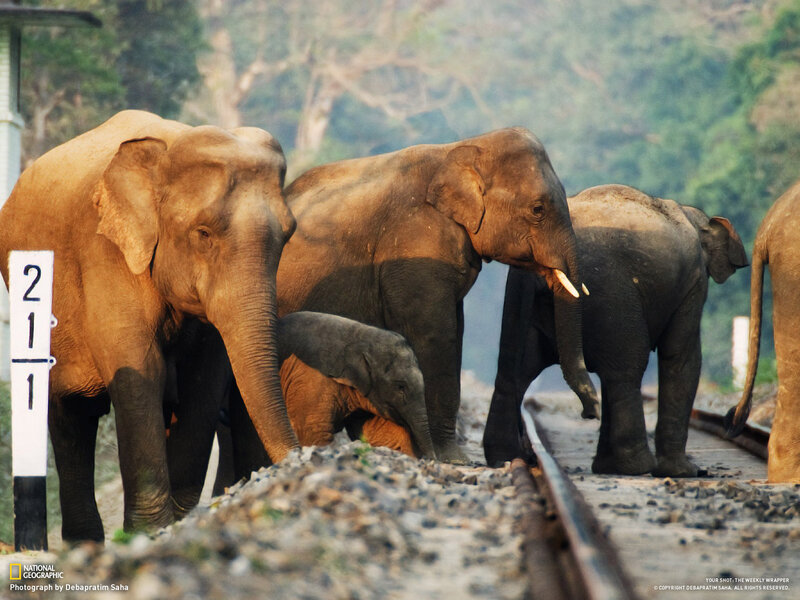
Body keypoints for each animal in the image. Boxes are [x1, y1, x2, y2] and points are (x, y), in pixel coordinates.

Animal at [0, 110, 299, 542]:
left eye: (288, 234)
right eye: (203, 233)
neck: (167, 150)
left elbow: (202, 380)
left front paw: (178, 523)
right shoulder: (105, 251)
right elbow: (141, 371)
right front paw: (150, 532)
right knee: (70, 415)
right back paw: (84, 542)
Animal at [277, 127, 597, 464]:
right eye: (538, 209)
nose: (589, 414)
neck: (461, 149)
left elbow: (455, 332)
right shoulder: (416, 241)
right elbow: (436, 335)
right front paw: (452, 459)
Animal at [484, 184, 748, 476]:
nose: (588, 414)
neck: (692, 214)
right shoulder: (694, 282)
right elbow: (681, 357)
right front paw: (685, 471)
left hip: (525, 298)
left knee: (515, 372)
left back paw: (507, 458)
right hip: (612, 291)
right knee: (626, 370)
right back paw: (635, 467)